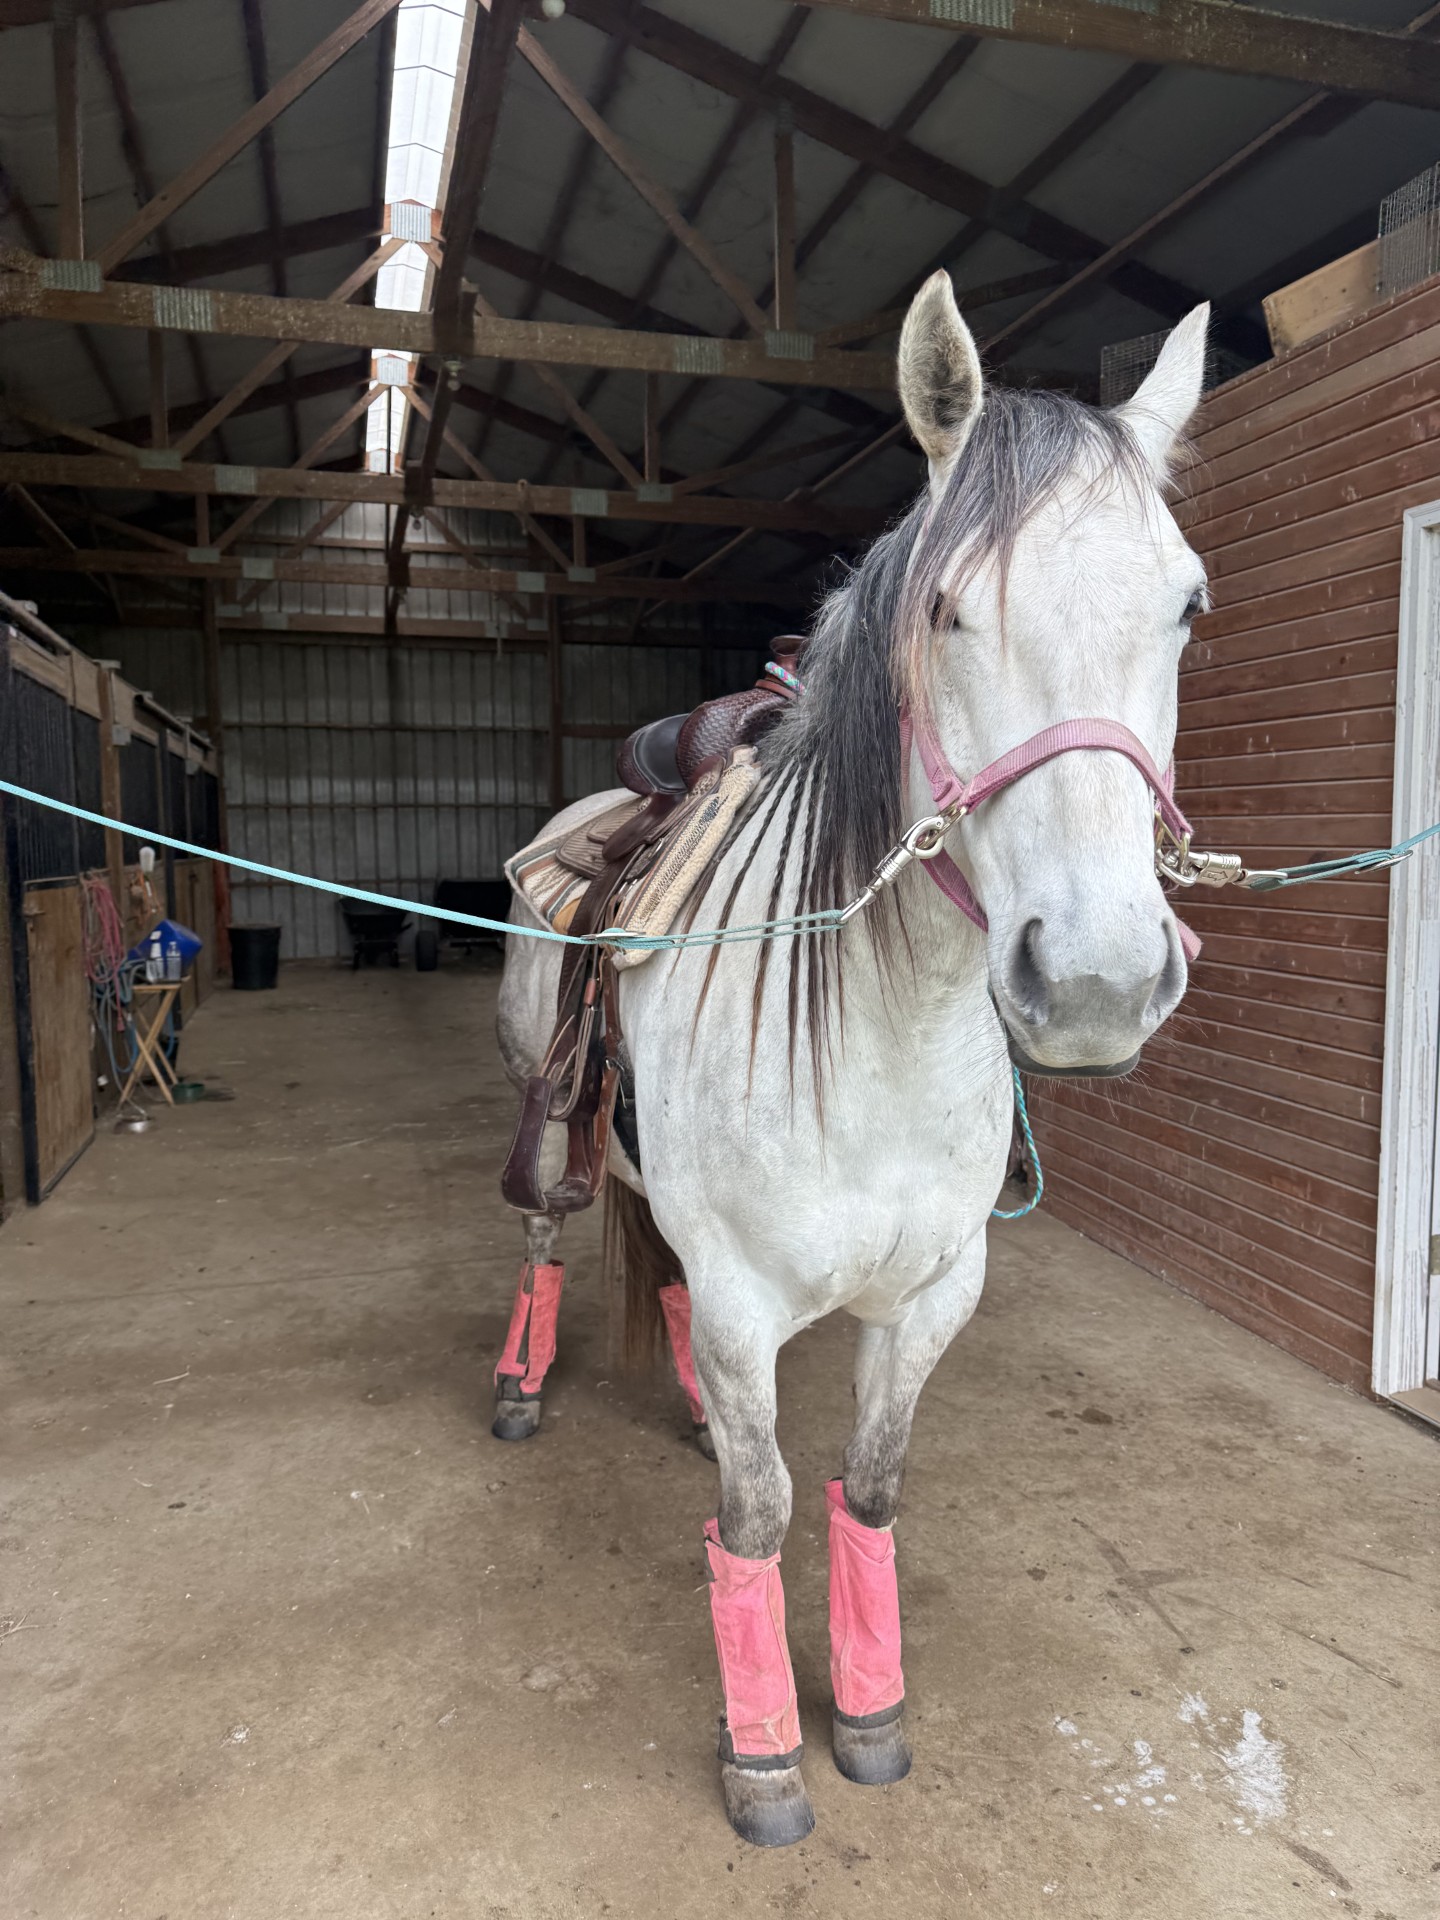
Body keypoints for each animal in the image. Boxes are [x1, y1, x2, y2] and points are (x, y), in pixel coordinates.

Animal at [493, 269, 1211, 1845]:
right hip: (545, 1116)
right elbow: (758, 1519)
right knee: (553, 1232)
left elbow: (864, 1494)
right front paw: (764, 1750)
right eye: (945, 608)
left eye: (1189, 604)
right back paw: (518, 1381)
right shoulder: (752, 1298)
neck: (885, 1046)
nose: (1099, 982)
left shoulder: (932, 1295)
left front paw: (870, 1711)